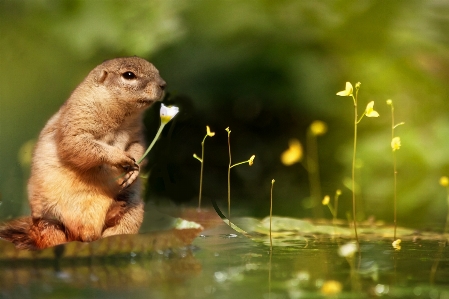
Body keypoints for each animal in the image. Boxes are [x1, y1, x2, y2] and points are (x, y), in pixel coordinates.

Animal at [0, 56, 165, 251]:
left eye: (157, 70)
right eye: (129, 75)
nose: (163, 85)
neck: (121, 117)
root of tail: (87, 234)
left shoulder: (137, 134)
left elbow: (137, 147)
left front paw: (134, 169)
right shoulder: (79, 119)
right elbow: (79, 144)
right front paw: (120, 157)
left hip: (133, 209)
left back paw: (115, 213)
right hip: (48, 221)